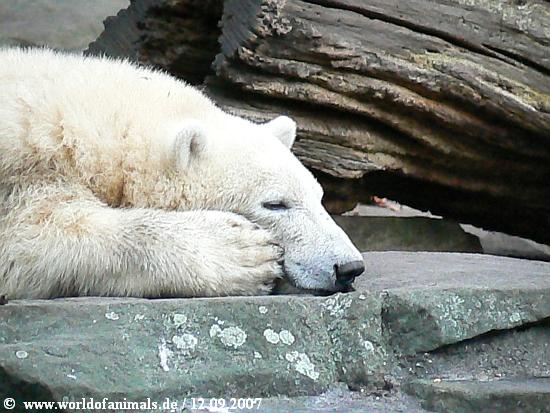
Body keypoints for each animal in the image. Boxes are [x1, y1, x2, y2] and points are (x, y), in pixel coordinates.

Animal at [0, 48, 365, 299]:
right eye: (275, 204)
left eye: (319, 197)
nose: (348, 267)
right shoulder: (23, 175)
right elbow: (28, 242)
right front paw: (242, 253)